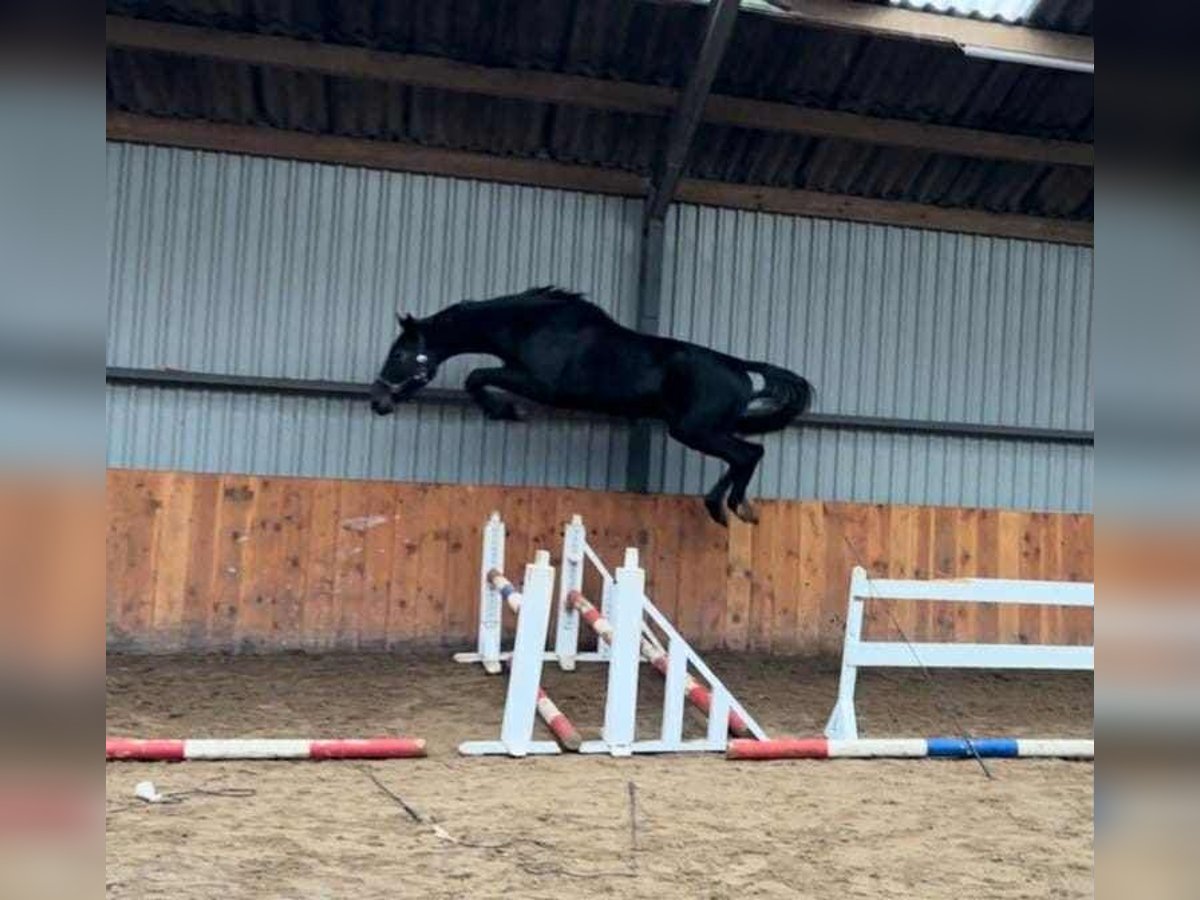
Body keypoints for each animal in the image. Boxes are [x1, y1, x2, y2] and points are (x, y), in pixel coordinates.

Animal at [369, 287, 812, 526]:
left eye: (398, 355)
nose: (378, 401)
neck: (531, 325)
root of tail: (740, 367)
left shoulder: (540, 384)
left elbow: (476, 376)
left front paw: (507, 411)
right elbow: (478, 377)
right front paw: (504, 410)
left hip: (694, 429)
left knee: (749, 453)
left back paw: (733, 508)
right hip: (700, 428)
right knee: (743, 455)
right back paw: (725, 507)